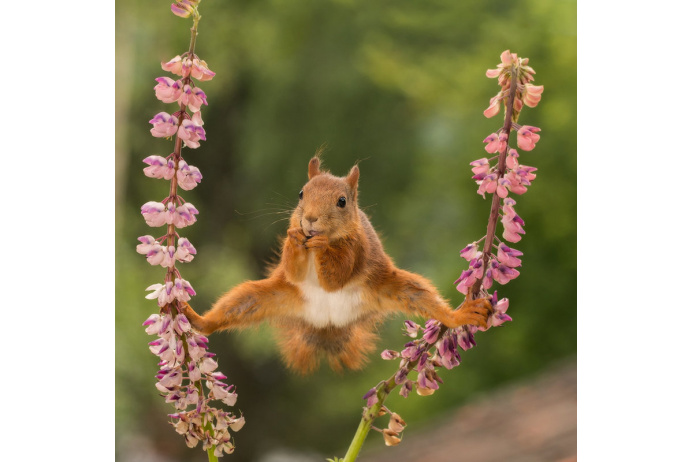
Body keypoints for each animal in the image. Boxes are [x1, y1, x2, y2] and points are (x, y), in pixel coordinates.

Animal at [180, 157, 492, 374]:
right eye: (301, 193)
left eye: (342, 201)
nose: (310, 219)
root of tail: (327, 324)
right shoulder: (292, 267)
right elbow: (293, 270)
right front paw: (295, 238)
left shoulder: (357, 249)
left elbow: (336, 277)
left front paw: (321, 247)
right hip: (265, 296)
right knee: (232, 308)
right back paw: (196, 318)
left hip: (395, 287)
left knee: (426, 300)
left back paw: (461, 314)